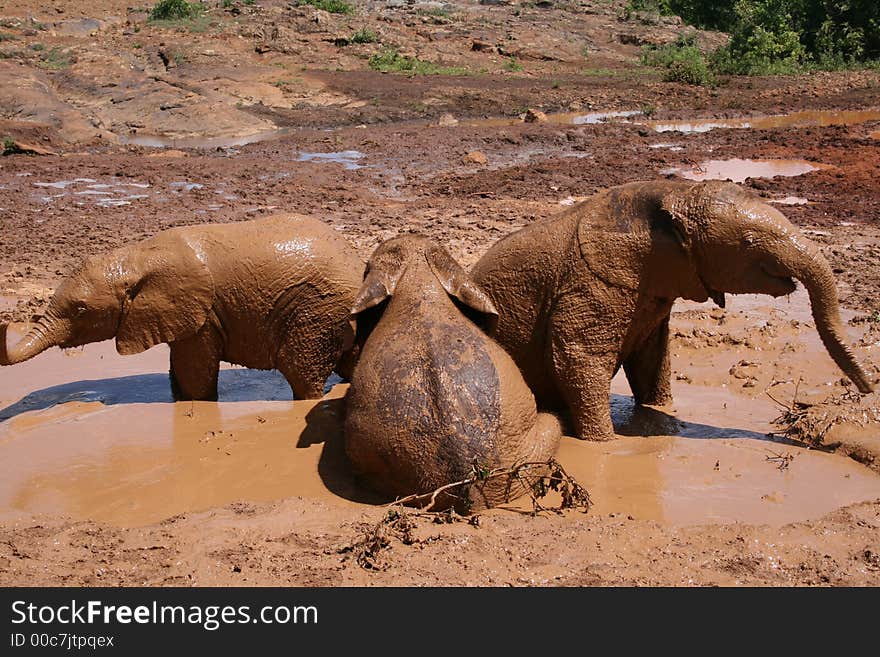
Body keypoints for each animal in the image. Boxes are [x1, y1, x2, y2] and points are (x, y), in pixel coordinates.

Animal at [0, 215, 364, 400]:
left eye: (79, 310)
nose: (5, 324)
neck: (135, 256)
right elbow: (179, 371)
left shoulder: (202, 314)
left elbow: (195, 376)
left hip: (319, 306)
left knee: (300, 371)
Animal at [470, 178, 868, 440]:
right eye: (748, 242)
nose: (868, 389)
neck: (674, 194)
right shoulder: (592, 282)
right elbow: (577, 356)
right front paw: (605, 446)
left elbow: (653, 358)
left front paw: (663, 414)